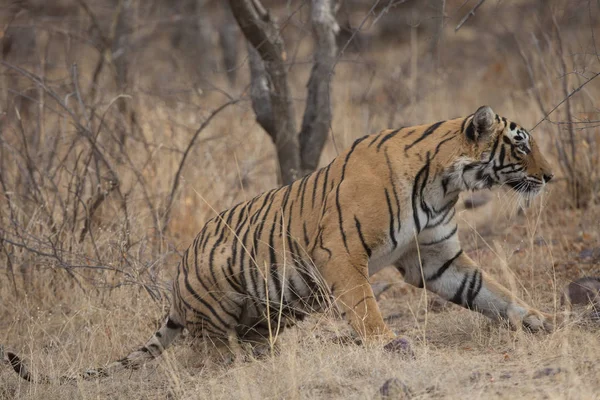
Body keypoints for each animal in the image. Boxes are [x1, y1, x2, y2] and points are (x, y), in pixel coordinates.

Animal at [3, 104, 556, 382]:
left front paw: (540, 322)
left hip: (283, 305)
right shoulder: (341, 254)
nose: (551, 177)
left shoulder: (435, 258)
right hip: (224, 290)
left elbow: (490, 293)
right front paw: (389, 345)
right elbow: (367, 309)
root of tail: (176, 290)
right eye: (521, 145)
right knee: (204, 353)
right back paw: (234, 367)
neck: (446, 184)